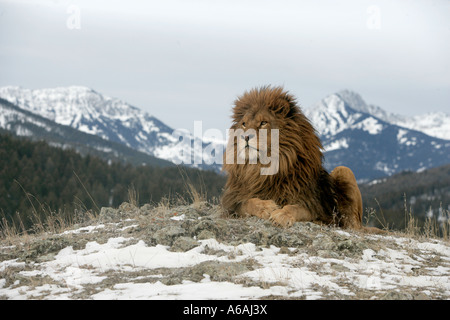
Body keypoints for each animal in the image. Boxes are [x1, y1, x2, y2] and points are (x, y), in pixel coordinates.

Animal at [221, 86, 380, 232]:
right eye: (244, 124)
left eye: (263, 123)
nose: (245, 136)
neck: (262, 168)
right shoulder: (231, 204)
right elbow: (248, 203)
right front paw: (266, 207)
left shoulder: (314, 205)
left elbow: (295, 208)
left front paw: (281, 215)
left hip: (344, 171)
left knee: (352, 226)